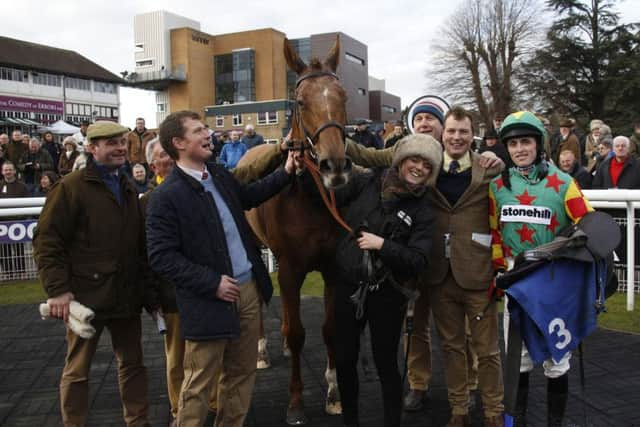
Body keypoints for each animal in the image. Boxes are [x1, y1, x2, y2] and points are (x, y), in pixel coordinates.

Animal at [238, 39, 352, 424]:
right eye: (301, 102)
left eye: (343, 96)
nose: (335, 165)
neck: (308, 195)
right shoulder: (288, 267)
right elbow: (298, 331)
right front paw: (296, 402)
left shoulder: (332, 268)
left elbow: (330, 331)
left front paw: (334, 394)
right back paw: (261, 350)